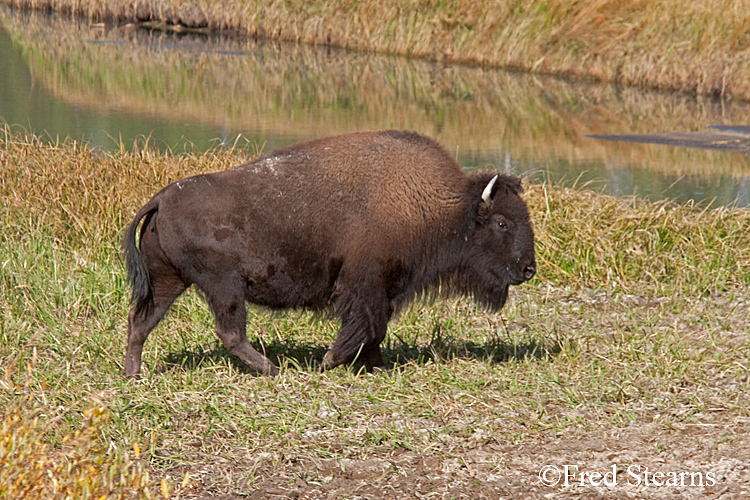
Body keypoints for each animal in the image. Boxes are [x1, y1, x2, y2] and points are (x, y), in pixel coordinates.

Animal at [122, 131, 536, 376]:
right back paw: (273, 370)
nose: (528, 269)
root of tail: (161, 199)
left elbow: (376, 328)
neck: (437, 205)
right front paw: (331, 360)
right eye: (502, 223)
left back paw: (134, 374)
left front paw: (374, 365)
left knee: (141, 321)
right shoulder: (365, 285)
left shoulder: (384, 288)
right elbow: (369, 325)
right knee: (229, 331)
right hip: (224, 286)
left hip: (170, 280)